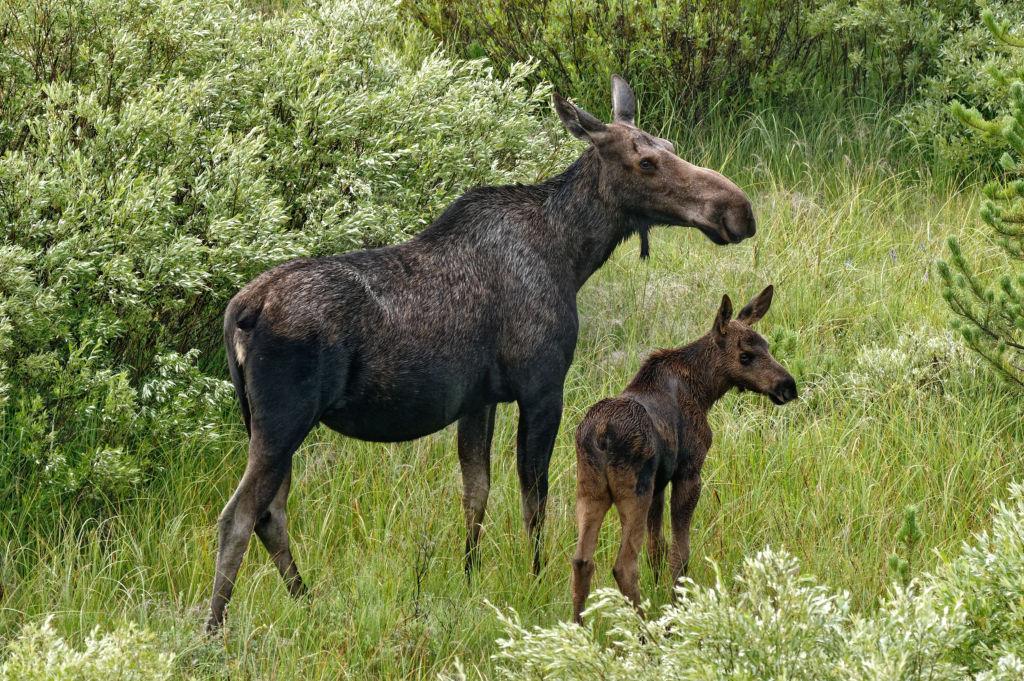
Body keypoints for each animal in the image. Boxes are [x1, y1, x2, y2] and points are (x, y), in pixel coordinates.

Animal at [207, 74, 757, 626]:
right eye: (645, 162)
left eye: (670, 146)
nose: (739, 210)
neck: (573, 254)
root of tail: (241, 310)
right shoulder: (542, 387)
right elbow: (534, 497)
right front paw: (535, 576)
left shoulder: (479, 400)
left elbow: (476, 493)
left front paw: (470, 574)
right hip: (285, 420)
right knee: (238, 516)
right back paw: (216, 627)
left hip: (261, 423)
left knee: (270, 514)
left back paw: (305, 599)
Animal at [573, 284, 794, 622]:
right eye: (745, 355)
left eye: (767, 346)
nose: (788, 386)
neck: (705, 391)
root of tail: (600, 435)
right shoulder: (689, 473)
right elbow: (681, 553)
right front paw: (677, 606)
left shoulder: (659, 485)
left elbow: (658, 549)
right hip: (632, 491)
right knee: (624, 565)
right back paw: (644, 630)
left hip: (590, 490)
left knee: (582, 561)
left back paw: (576, 629)